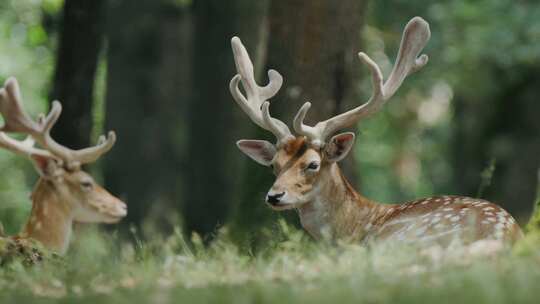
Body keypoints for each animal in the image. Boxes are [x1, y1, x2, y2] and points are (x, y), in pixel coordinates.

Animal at [229, 17, 524, 247]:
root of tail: (506, 235)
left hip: (403, 238)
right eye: (273, 165)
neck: (355, 224)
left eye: (312, 164)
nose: (274, 196)